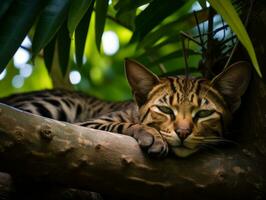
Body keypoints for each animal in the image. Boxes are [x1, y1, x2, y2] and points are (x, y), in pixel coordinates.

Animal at [0, 58, 250, 157]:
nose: (183, 133)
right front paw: (152, 134)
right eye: (166, 110)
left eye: (204, 113)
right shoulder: (83, 126)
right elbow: (123, 124)